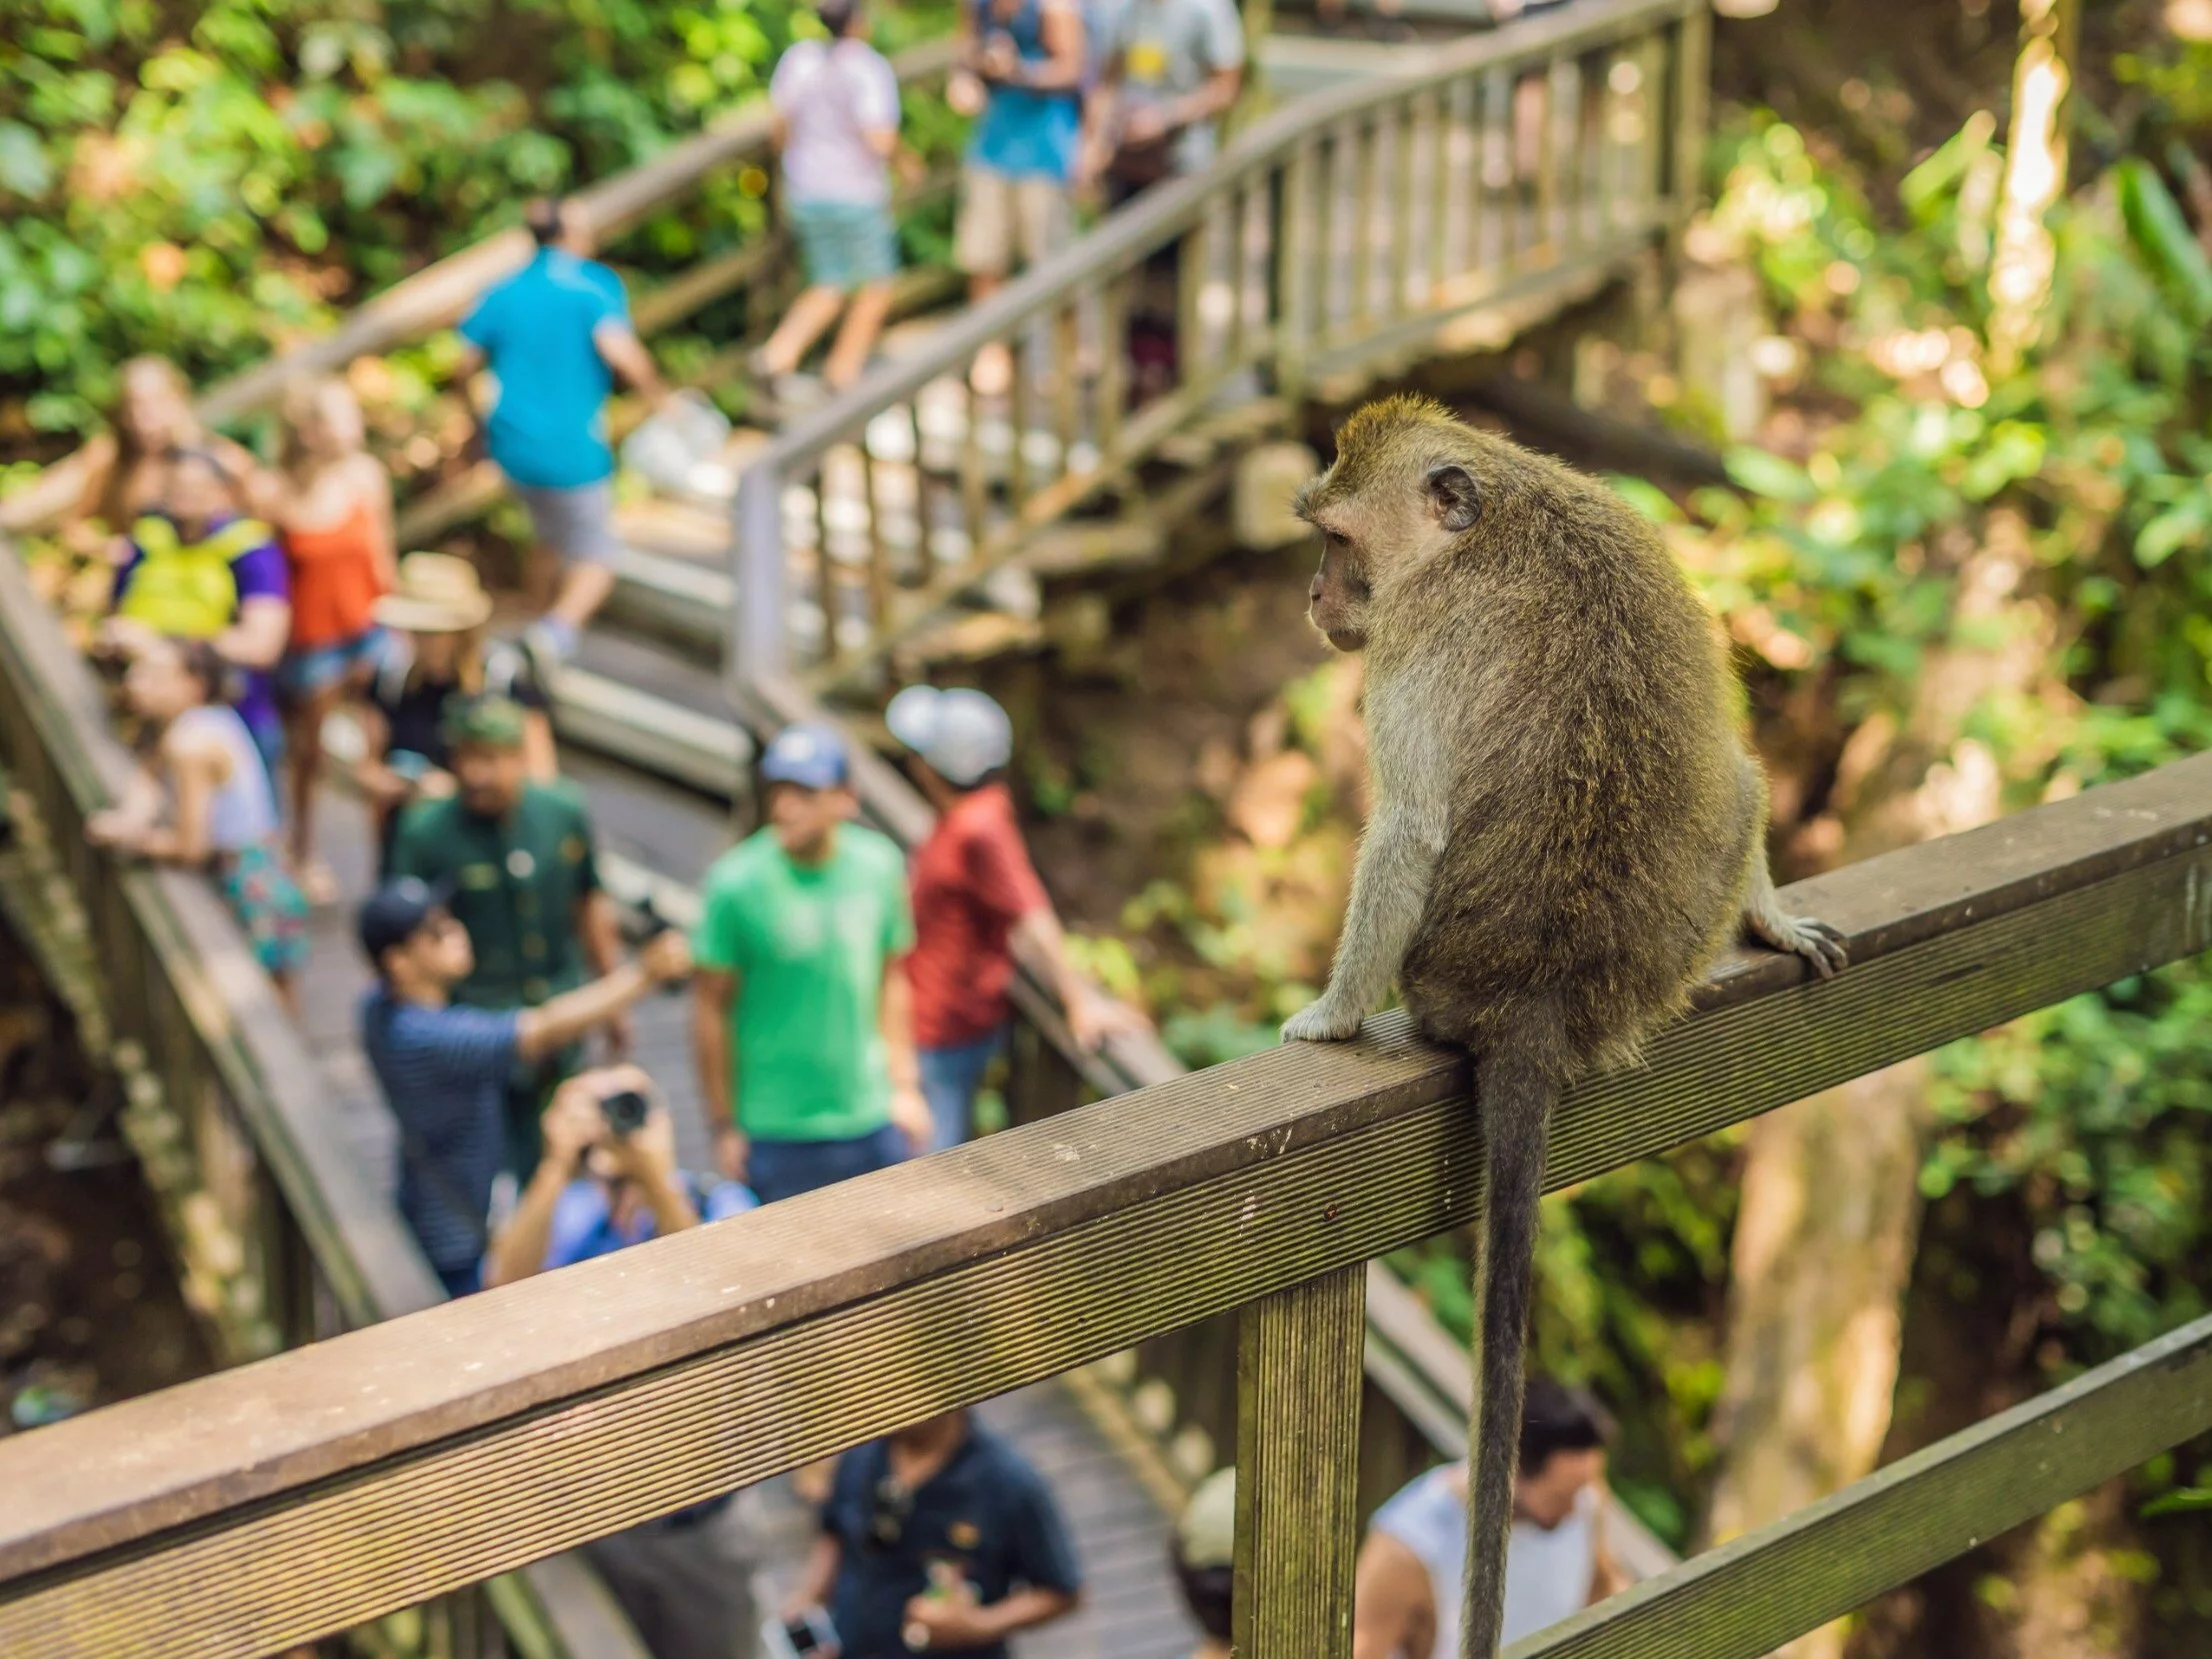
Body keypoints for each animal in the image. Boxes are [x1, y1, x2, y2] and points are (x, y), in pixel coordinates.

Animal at [1291, 400, 1840, 1659]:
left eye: (1338, 541)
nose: (1313, 594)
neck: (1495, 513)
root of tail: (1533, 1002)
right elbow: (1737, 765)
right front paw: (1778, 916)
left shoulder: (1411, 642)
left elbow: (1410, 824)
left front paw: (1330, 1017)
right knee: (1740, 777)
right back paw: (1759, 908)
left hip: (1442, 969)